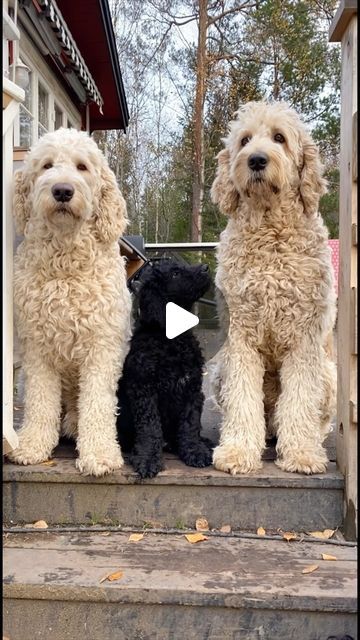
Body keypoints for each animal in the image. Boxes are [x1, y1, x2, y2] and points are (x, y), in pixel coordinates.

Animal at [7, 127, 131, 476]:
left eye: (82, 167)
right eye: (47, 165)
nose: (62, 190)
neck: (66, 266)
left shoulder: (102, 347)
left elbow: (97, 404)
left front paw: (100, 453)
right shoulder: (37, 348)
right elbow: (40, 402)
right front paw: (32, 445)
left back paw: (75, 425)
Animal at [116, 258, 214, 478]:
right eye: (175, 273)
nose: (206, 268)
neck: (171, 339)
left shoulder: (192, 390)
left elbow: (190, 424)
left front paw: (195, 450)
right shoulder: (144, 390)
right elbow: (150, 428)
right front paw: (147, 459)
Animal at [211, 100, 338, 476]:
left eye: (279, 138)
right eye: (244, 140)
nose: (256, 160)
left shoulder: (304, 339)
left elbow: (299, 401)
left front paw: (301, 453)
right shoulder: (240, 336)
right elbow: (242, 399)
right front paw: (238, 451)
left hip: (329, 374)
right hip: (219, 371)